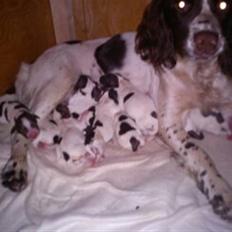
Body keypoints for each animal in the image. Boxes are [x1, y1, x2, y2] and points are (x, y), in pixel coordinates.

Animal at [0, 0, 232, 221]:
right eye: (181, 5)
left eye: (223, 5)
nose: (207, 41)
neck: (199, 73)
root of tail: (29, 66)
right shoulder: (169, 124)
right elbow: (199, 153)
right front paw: (219, 188)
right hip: (58, 81)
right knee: (21, 126)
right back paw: (16, 167)